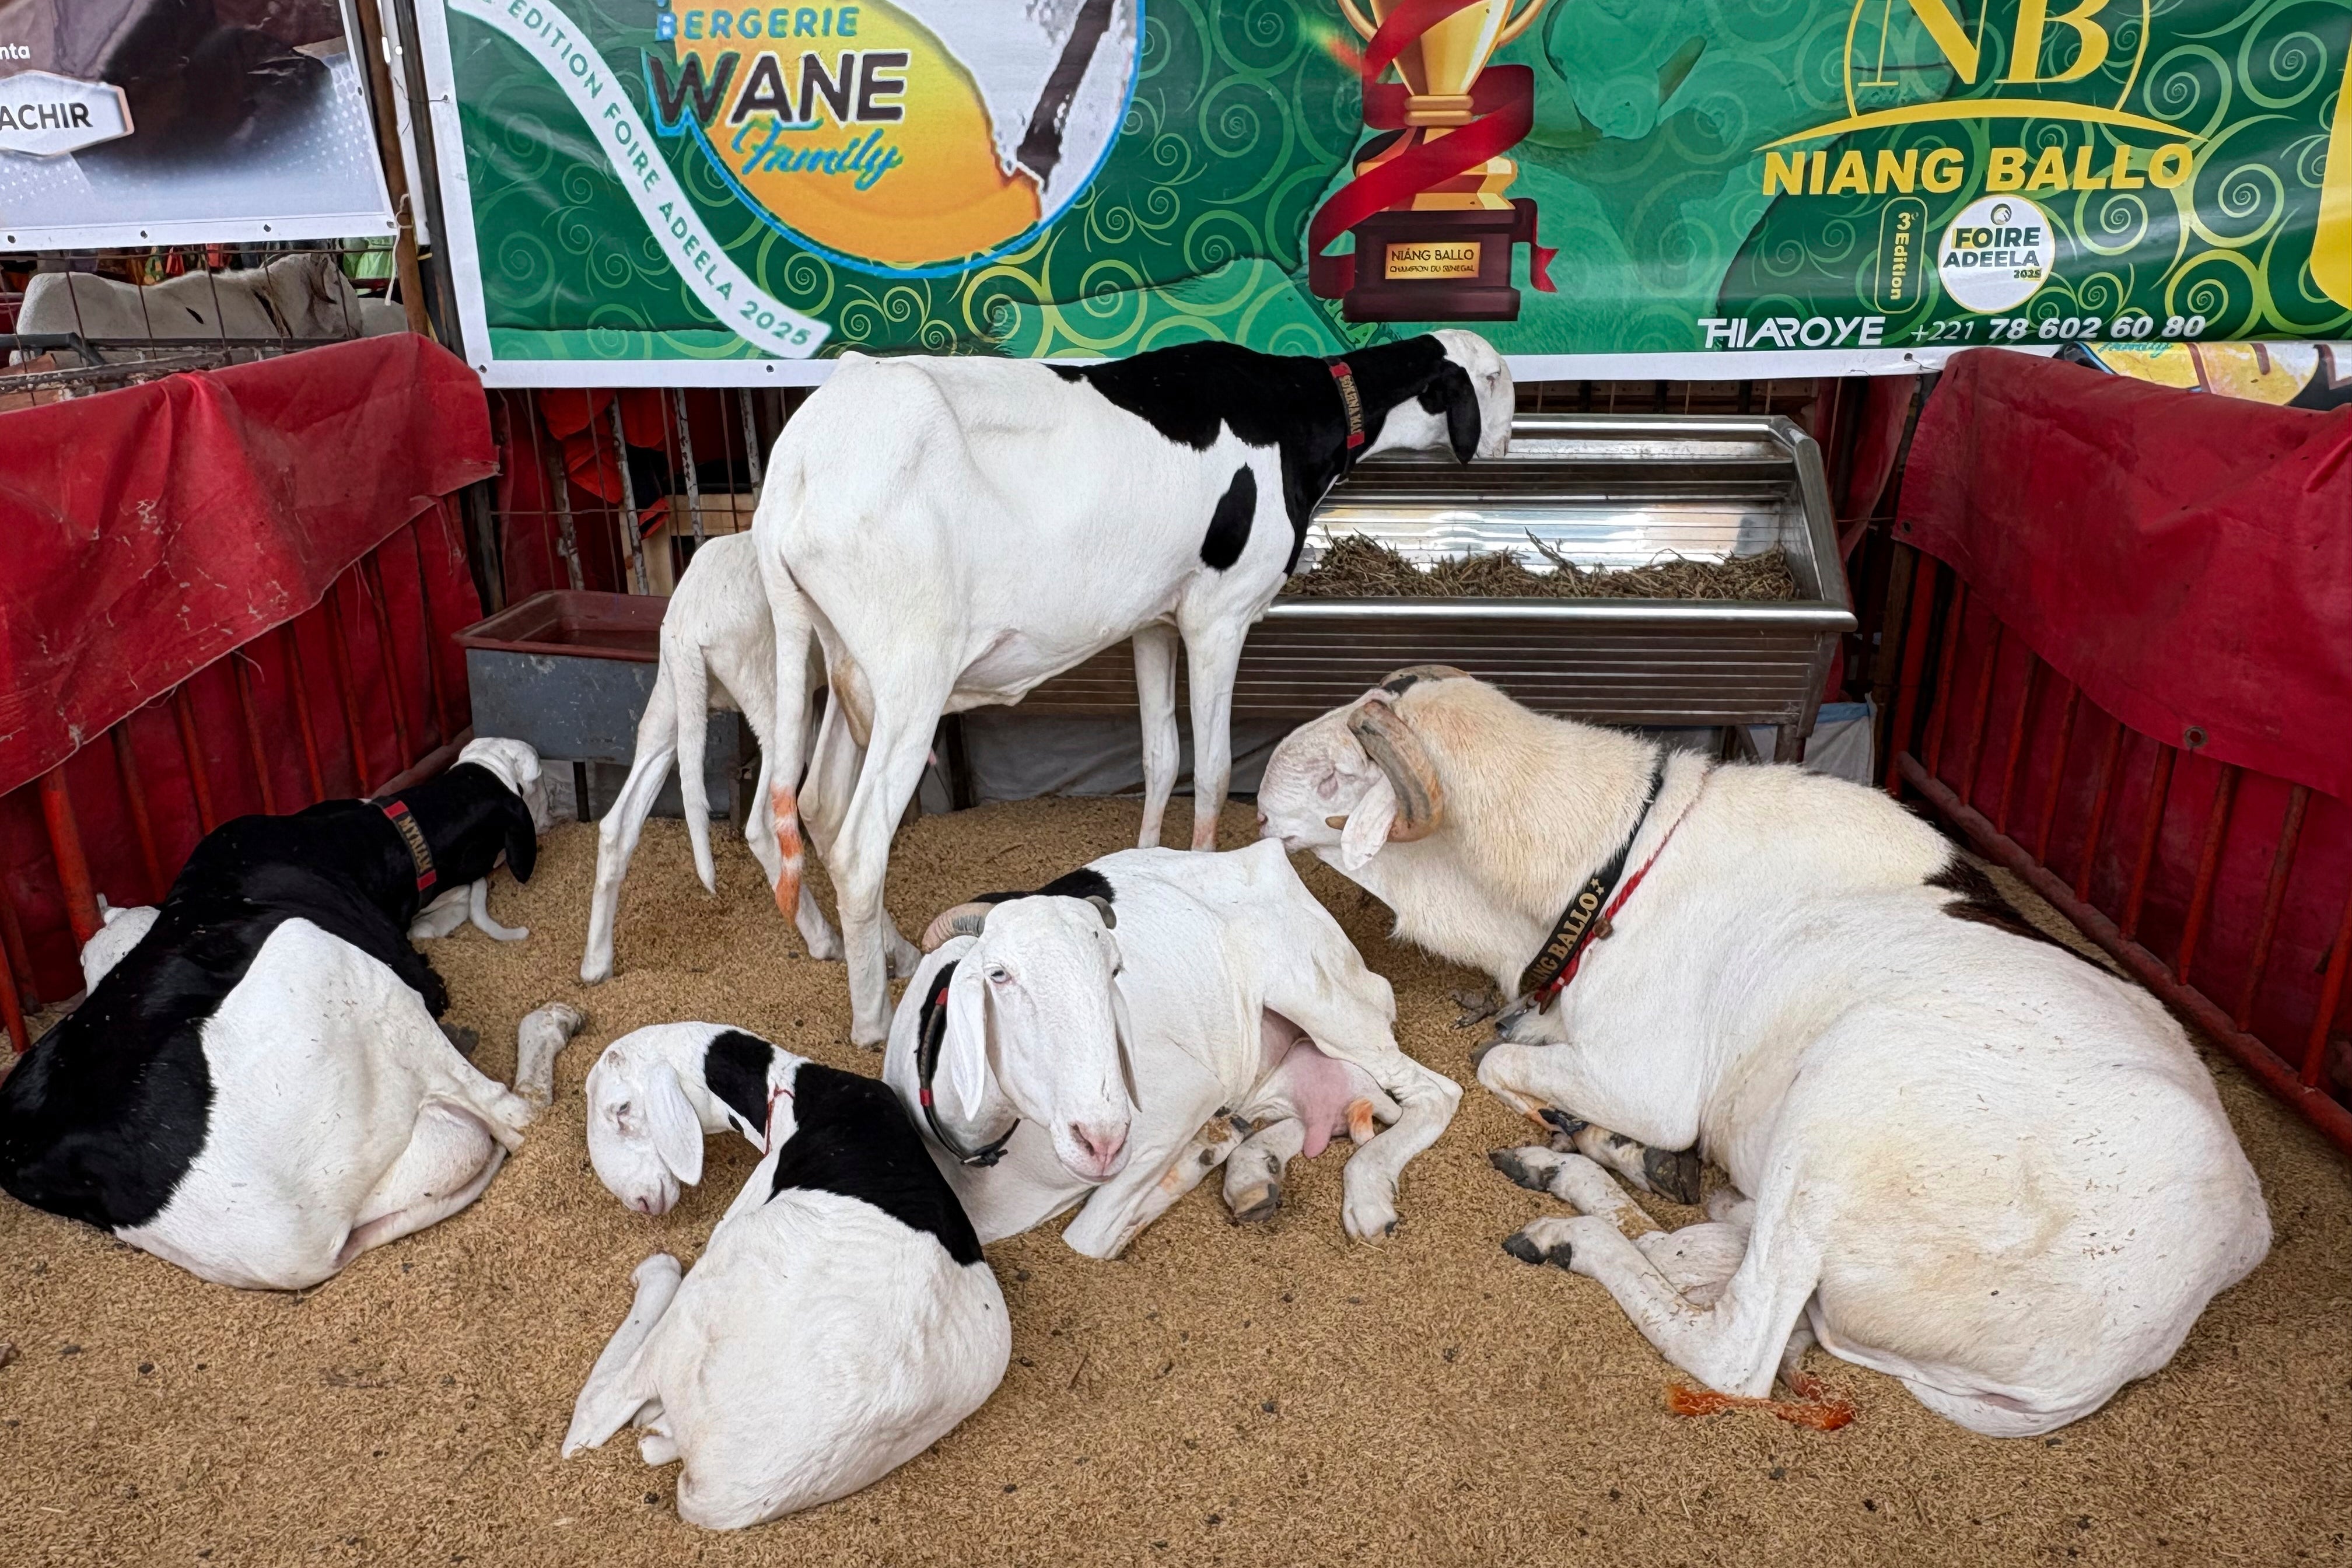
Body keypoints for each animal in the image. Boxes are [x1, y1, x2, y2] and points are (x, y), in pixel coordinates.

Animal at [0, 739, 582, 1290]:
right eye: (536, 786)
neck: (367, 837)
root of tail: (302, 1258)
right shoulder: (411, 972)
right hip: (326, 959)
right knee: (519, 1116)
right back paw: (554, 1023)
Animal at [563, 1028, 1008, 1530]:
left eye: (620, 1109)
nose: (639, 1202)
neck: (792, 1087)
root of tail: (718, 1497)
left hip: (708, 1292)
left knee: (592, 1419)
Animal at [577, 533, 920, 987]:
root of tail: (689, 621)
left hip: (671, 704)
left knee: (618, 824)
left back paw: (596, 964)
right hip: (772, 698)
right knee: (763, 827)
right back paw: (830, 941)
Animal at [754, 331, 1515, 1045]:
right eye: (1495, 376)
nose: (1504, 442)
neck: (1293, 410)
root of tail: (802, 453)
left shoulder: (1152, 620)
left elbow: (1160, 758)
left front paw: (1147, 866)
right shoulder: (1219, 614)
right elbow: (1212, 770)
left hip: (845, 663)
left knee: (818, 805)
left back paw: (895, 952)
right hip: (911, 672)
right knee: (858, 845)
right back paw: (872, 1021)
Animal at [1254, 668, 2271, 1436]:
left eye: (1340, 777)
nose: (1258, 794)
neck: (1615, 865)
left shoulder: (1653, 1083)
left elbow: (1496, 1065)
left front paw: (1582, 1127)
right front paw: (1592, 1138)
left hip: (1847, 1097)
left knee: (1736, 1345)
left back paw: (1576, 1229)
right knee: (1712, 1248)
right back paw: (1584, 1174)